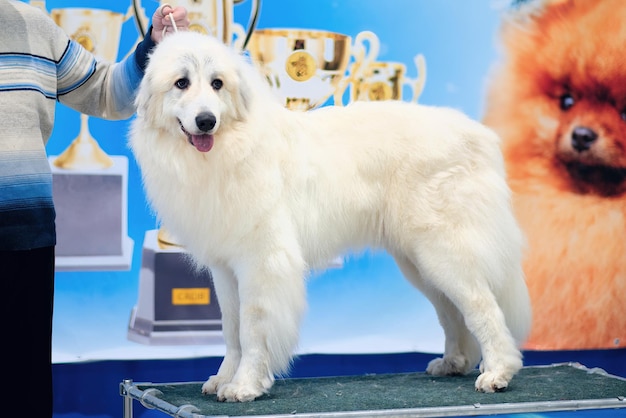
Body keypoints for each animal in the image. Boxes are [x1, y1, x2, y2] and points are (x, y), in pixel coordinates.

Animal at [129, 31, 528, 404]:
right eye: (182, 83)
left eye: (217, 84)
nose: (206, 121)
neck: (229, 148)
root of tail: (479, 135)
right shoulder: (226, 268)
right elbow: (231, 327)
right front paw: (223, 378)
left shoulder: (263, 262)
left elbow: (253, 327)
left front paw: (245, 385)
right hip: (420, 262)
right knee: (451, 312)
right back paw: (454, 362)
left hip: (444, 252)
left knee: (482, 308)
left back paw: (498, 372)